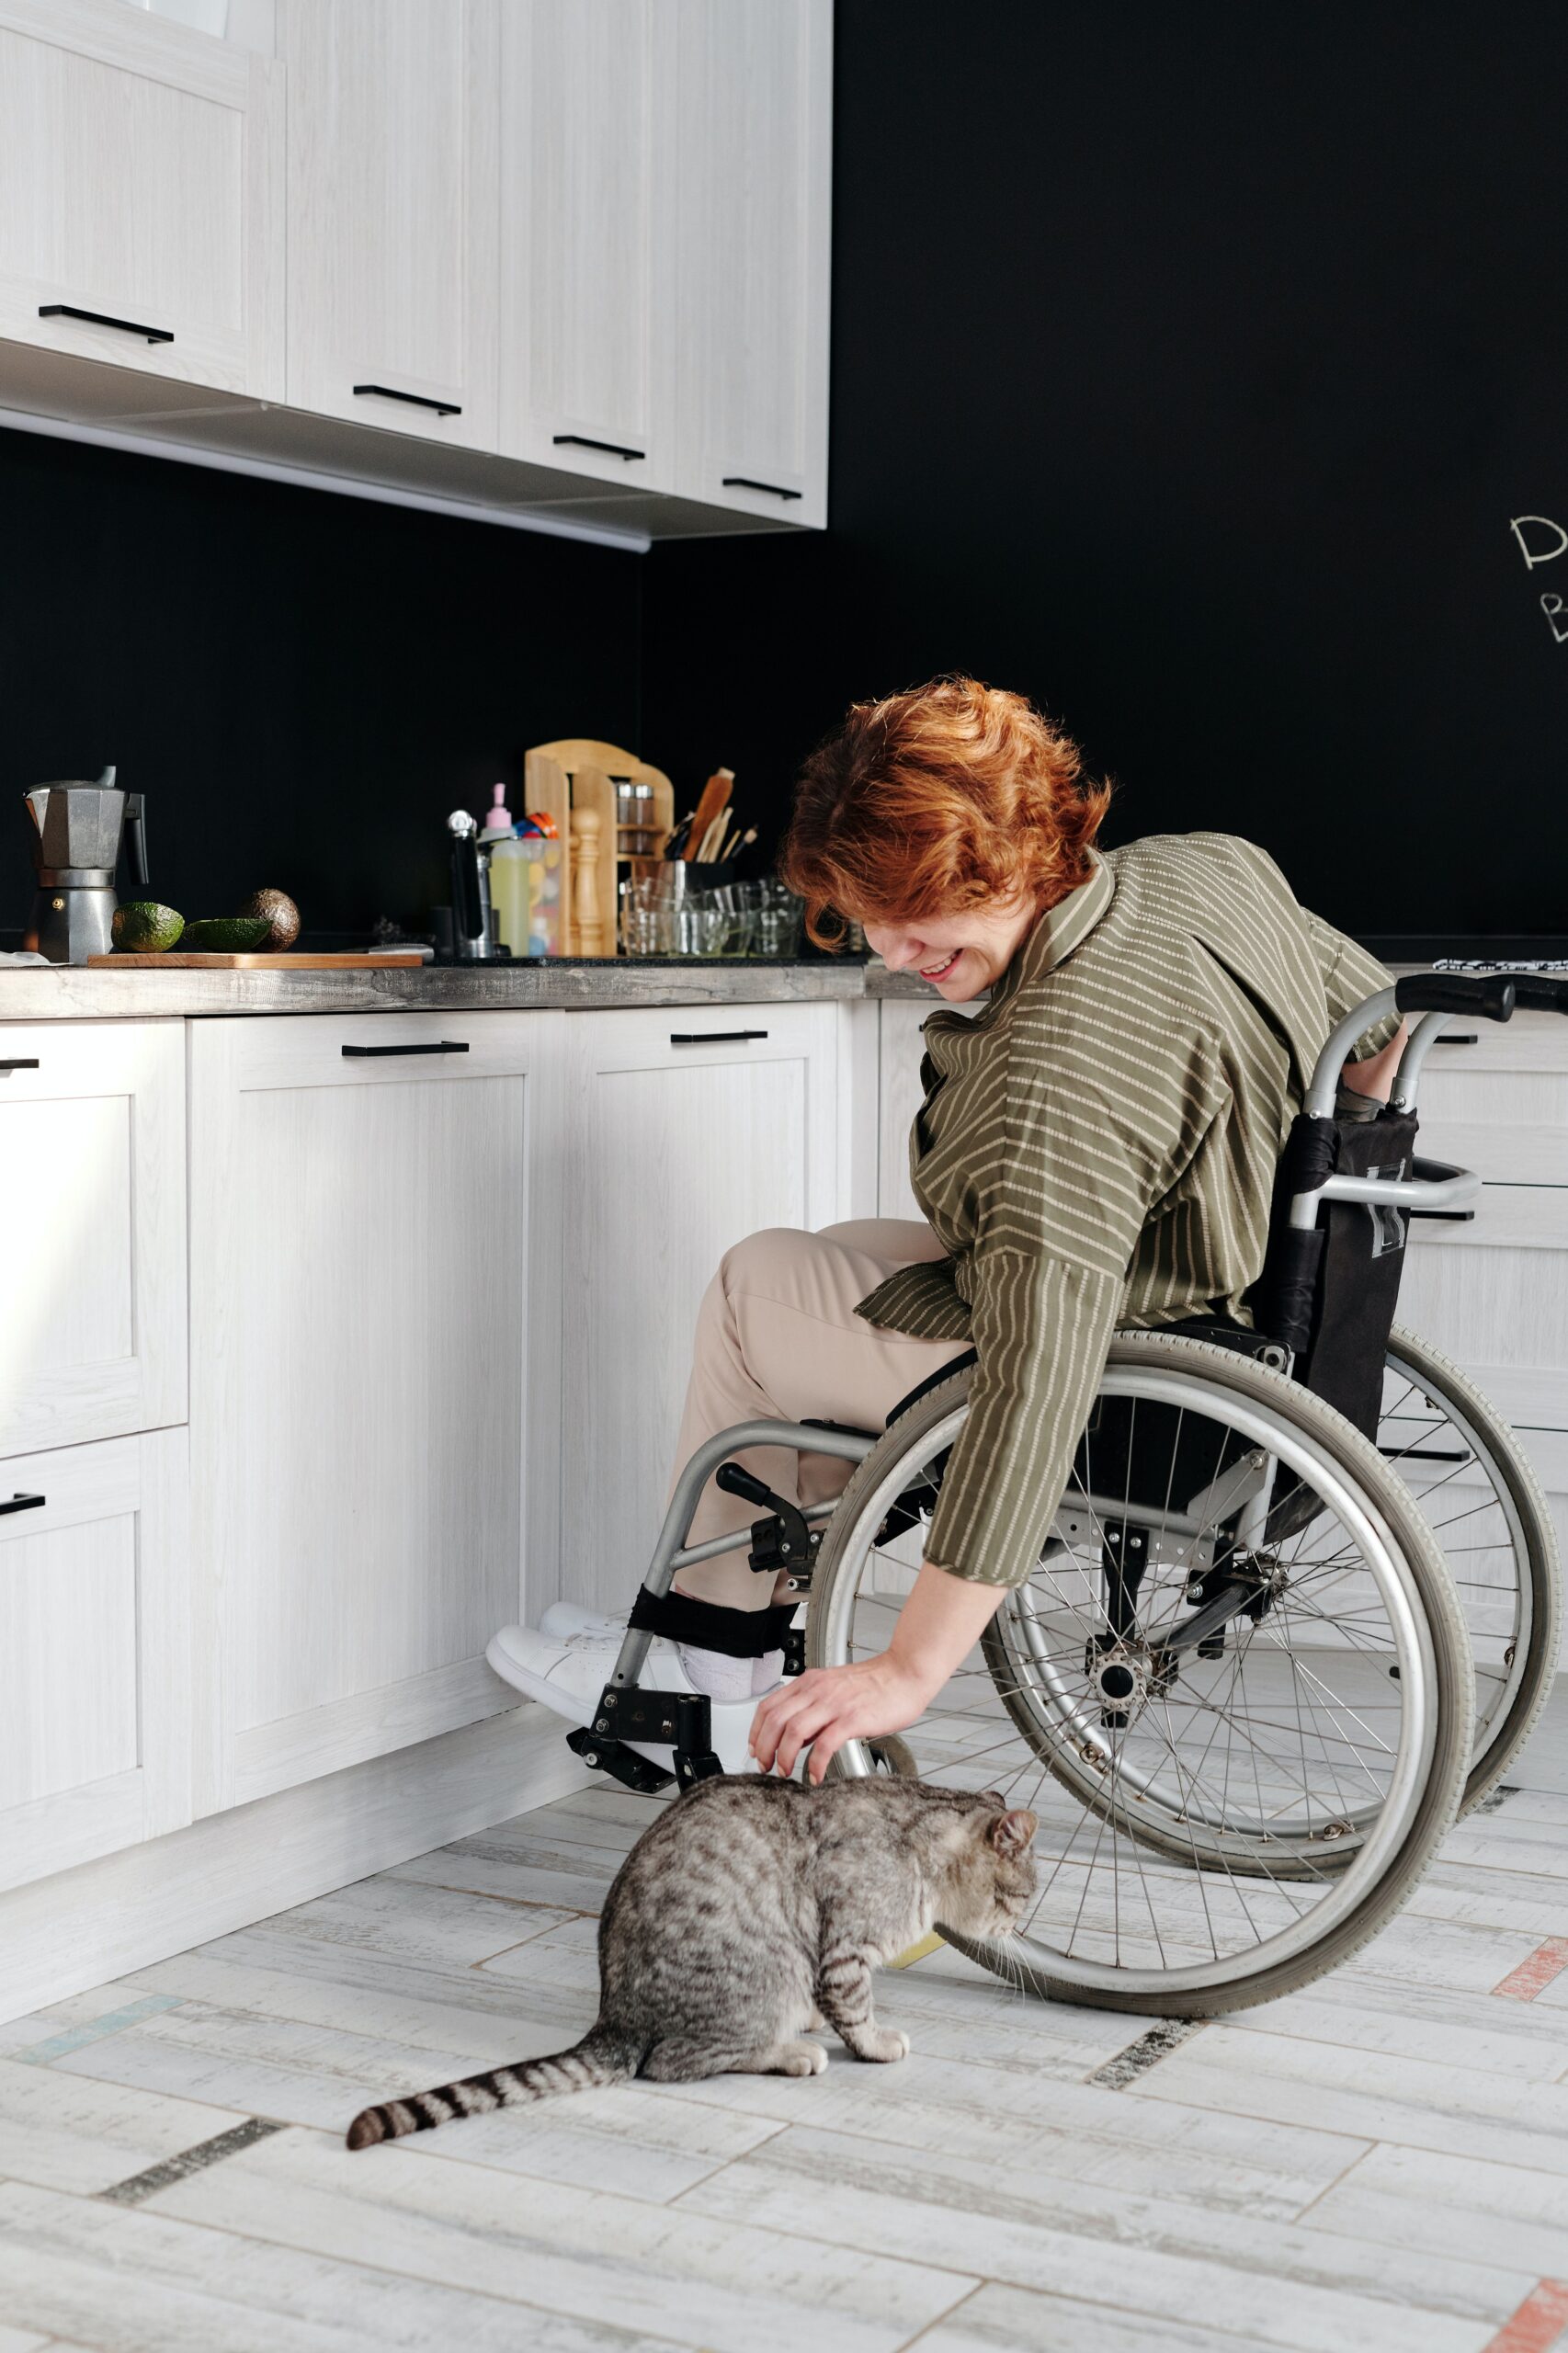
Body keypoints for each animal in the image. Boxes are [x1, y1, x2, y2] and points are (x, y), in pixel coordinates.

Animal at [350, 1769, 1036, 2145]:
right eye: (1024, 1894)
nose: (1018, 1924)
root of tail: (615, 2020)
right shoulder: (844, 1946)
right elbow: (855, 2007)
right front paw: (873, 2043)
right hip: (767, 1972)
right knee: (674, 2061)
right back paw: (791, 2052)